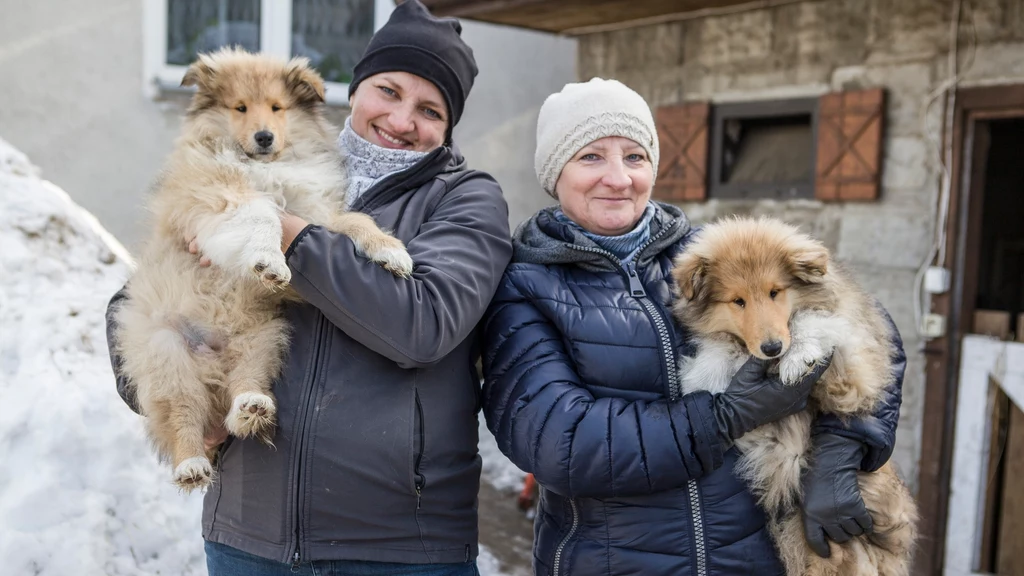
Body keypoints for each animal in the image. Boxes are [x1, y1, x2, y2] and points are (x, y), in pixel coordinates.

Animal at [115, 48, 411, 487]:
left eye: (277, 108)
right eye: (239, 108)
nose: (264, 137)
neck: (267, 165)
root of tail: (212, 364)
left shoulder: (313, 214)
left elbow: (356, 221)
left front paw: (391, 251)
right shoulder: (220, 194)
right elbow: (262, 214)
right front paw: (269, 260)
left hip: (264, 339)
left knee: (242, 392)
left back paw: (250, 406)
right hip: (165, 352)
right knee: (182, 412)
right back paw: (191, 462)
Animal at [671, 215, 921, 573]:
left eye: (775, 292)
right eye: (737, 301)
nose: (772, 348)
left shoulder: (854, 373)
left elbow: (813, 319)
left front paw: (799, 355)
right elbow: (723, 346)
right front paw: (707, 374)